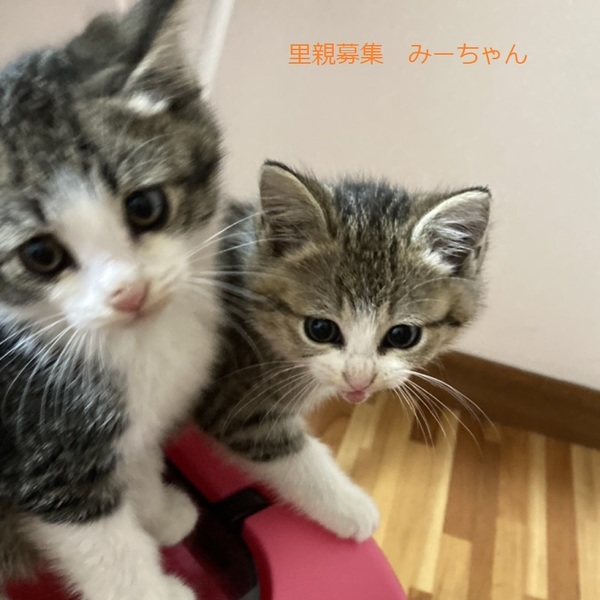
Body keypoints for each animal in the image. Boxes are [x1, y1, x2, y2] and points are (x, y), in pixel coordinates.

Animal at [0, 1, 223, 598]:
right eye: (40, 255)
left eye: (145, 205)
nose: (130, 292)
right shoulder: (44, 459)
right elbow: (105, 547)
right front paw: (154, 589)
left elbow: (136, 458)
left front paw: (159, 512)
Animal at [196, 160, 491, 541]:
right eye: (320, 329)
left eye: (403, 335)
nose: (359, 378)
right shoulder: (233, 401)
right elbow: (289, 455)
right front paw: (352, 509)